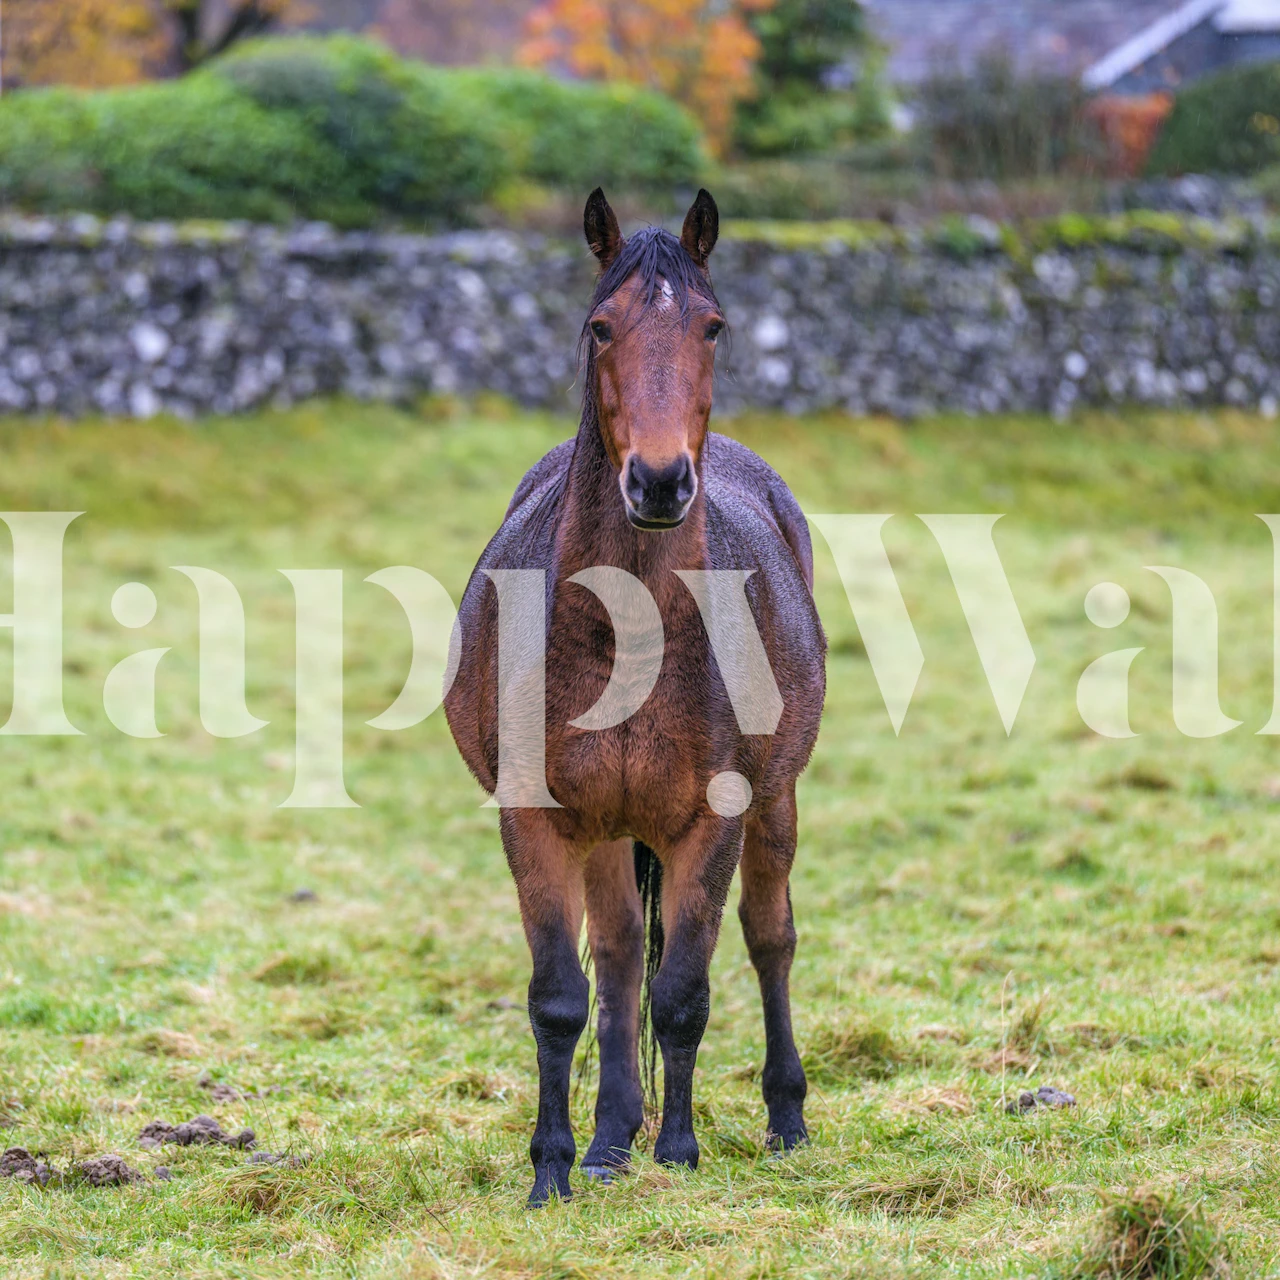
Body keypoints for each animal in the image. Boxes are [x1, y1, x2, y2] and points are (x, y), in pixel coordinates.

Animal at [444, 188, 826, 1207]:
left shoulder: (714, 821)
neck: (630, 631)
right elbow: (561, 998)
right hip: (611, 831)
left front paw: (682, 1148)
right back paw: (611, 1136)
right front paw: (553, 1167)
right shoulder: (536, 820)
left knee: (769, 939)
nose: (658, 481)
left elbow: (685, 993)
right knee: (617, 958)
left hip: (775, 801)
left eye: (714, 326)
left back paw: (784, 1117)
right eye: (601, 326)